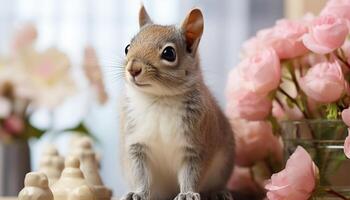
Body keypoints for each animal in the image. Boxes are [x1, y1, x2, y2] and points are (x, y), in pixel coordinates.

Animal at [120, 4, 235, 200]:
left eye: (169, 53)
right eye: (128, 48)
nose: (133, 69)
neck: (159, 99)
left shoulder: (196, 146)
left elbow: (191, 174)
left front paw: (188, 193)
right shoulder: (137, 144)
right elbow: (141, 174)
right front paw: (138, 193)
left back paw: (218, 192)